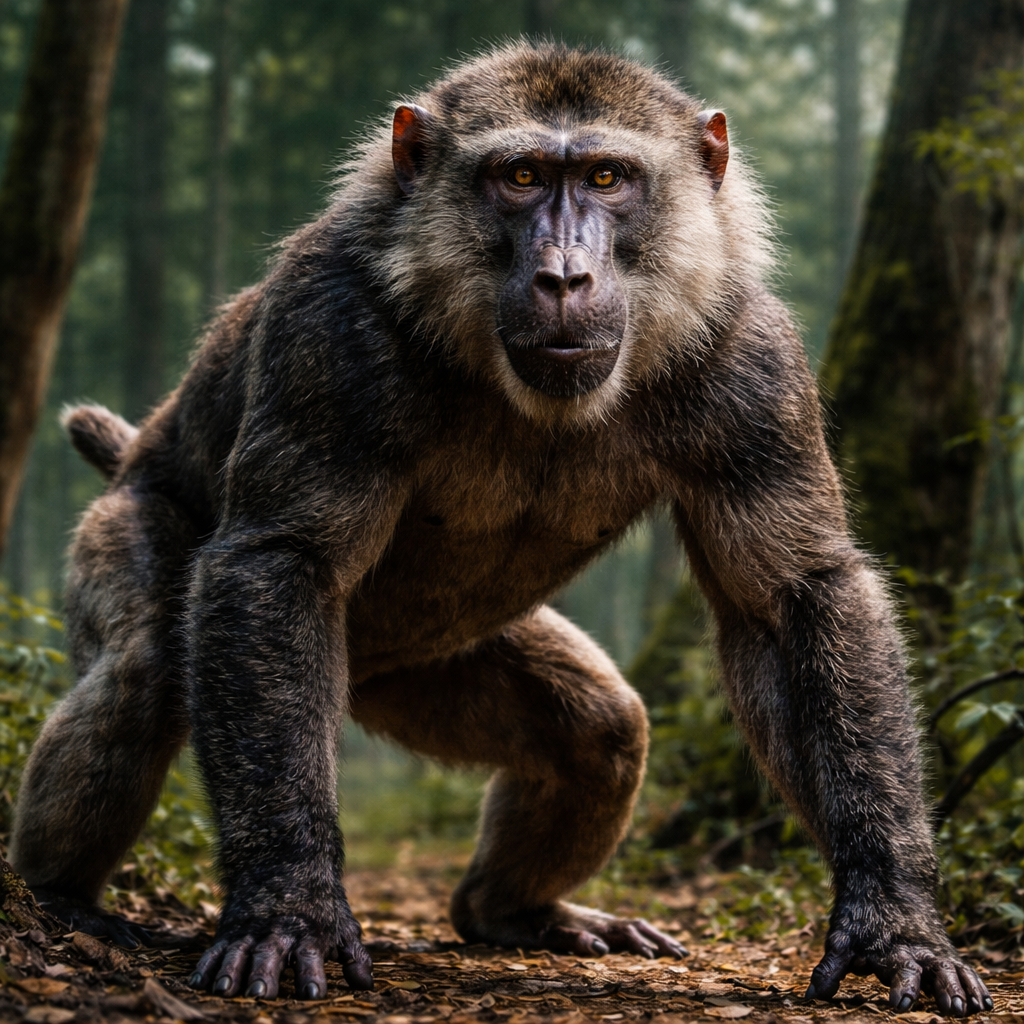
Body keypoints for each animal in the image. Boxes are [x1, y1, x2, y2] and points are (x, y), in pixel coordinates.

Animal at [10, 42, 991, 1015]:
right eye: (520, 177)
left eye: (605, 177)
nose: (563, 272)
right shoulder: (328, 331)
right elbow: (283, 560)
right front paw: (288, 905)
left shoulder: (754, 363)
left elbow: (791, 598)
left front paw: (892, 916)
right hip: (131, 527)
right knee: (145, 671)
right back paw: (58, 896)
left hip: (421, 672)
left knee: (597, 730)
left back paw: (515, 909)